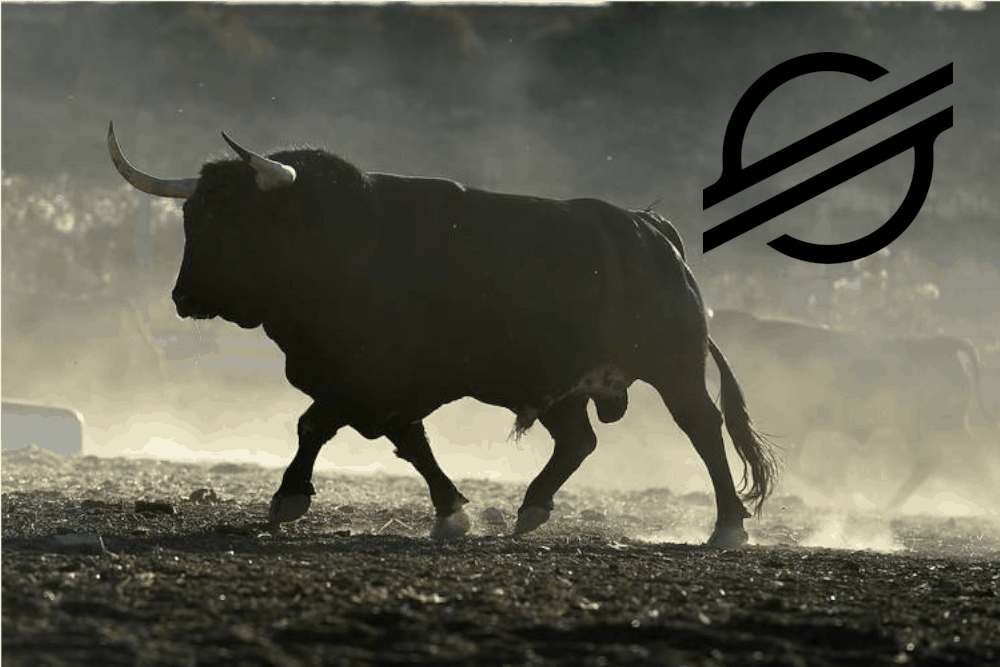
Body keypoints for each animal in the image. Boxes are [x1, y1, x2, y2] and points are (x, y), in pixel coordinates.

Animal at [107, 122, 778, 548]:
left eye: (237, 218)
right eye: (192, 215)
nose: (184, 298)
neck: (344, 243)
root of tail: (650, 229)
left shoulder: (371, 376)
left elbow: (313, 425)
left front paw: (289, 496)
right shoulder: (382, 390)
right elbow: (410, 444)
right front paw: (452, 512)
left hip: (674, 368)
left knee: (703, 428)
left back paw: (728, 526)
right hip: (561, 386)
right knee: (578, 441)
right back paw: (532, 507)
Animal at [707, 308, 998, 509]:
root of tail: (940, 343)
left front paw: (830, 489)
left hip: (932, 426)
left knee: (956, 456)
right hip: (932, 428)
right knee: (945, 458)